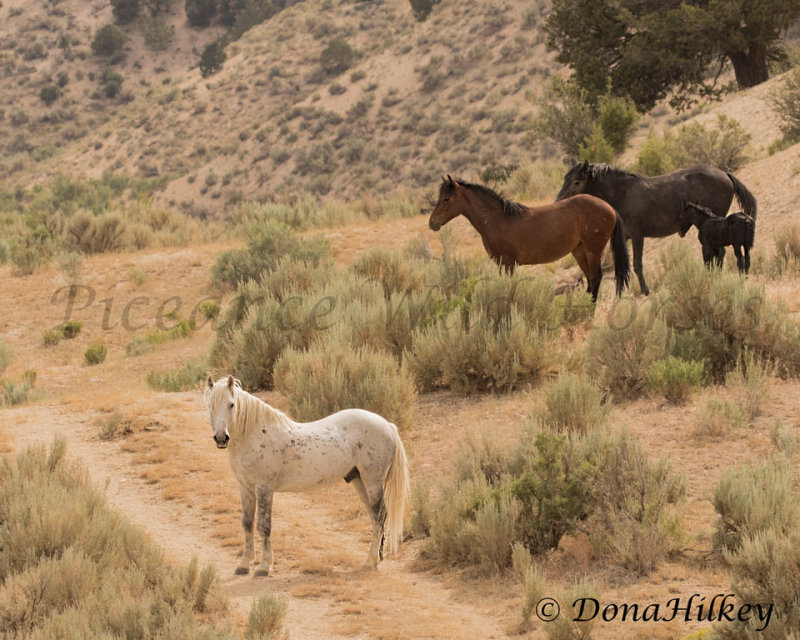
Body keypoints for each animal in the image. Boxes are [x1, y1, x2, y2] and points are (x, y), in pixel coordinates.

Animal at [203, 376, 410, 576]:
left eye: (231, 404)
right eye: (210, 405)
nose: (221, 438)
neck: (255, 435)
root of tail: (387, 425)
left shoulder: (264, 489)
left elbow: (264, 526)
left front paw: (264, 566)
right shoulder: (245, 487)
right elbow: (247, 523)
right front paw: (244, 565)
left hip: (373, 481)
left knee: (380, 515)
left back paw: (369, 562)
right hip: (360, 481)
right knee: (376, 517)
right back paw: (377, 557)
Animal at [428, 176, 628, 302]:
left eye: (447, 199)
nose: (432, 223)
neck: (498, 219)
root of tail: (609, 207)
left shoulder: (507, 263)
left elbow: (508, 289)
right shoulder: (502, 264)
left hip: (593, 250)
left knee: (595, 278)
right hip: (579, 251)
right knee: (589, 279)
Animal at [556, 164, 756, 296]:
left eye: (576, 182)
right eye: (564, 179)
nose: (558, 202)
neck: (622, 194)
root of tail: (725, 174)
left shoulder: (638, 236)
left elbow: (637, 264)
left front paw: (645, 290)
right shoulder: (623, 238)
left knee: (720, 252)